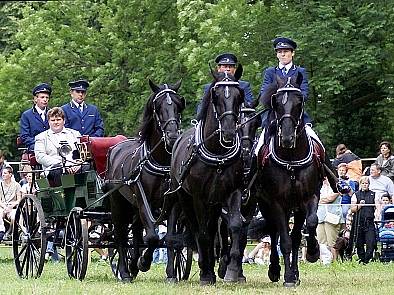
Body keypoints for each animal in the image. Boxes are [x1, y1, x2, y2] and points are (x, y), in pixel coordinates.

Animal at [104, 80, 185, 284]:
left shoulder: (172, 203)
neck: (161, 161)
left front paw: (171, 274)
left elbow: (169, 237)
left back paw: (132, 266)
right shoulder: (142, 200)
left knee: (136, 232)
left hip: (133, 207)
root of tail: (114, 149)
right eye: (159, 108)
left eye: (178, 105)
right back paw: (125, 272)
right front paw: (143, 263)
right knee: (121, 236)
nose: (172, 136)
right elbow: (152, 238)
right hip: (119, 204)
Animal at [170, 69, 245, 284]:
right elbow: (202, 233)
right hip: (185, 199)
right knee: (198, 230)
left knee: (213, 231)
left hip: (215, 202)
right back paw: (205, 267)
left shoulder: (233, 191)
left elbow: (235, 226)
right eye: (216, 96)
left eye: (239, 95)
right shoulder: (198, 197)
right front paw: (206, 273)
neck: (218, 153)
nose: (228, 132)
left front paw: (232, 270)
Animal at [254, 74, 328, 290]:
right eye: (277, 103)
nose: (287, 138)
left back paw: (296, 272)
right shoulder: (276, 202)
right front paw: (286, 276)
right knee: (274, 232)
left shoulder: (310, 197)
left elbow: (310, 224)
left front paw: (312, 252)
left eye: (299, 101)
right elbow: (284, 240)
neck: (292, 158)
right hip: (267, 204)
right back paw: (275, 270)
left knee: (294, 235)